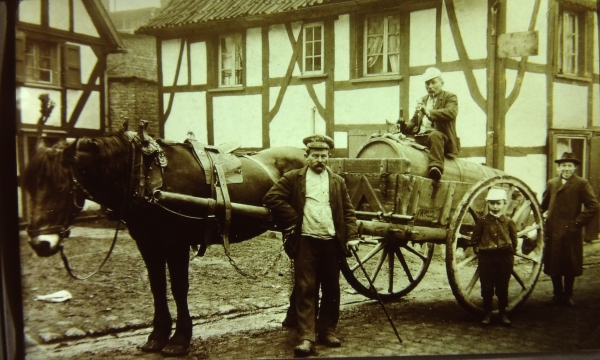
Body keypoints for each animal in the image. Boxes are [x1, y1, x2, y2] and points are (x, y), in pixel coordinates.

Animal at [21, 131, 308, 356]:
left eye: (61, 186)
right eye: (29, 186)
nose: (40, 243)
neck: (145, 174)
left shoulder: (176, 242)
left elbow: (179, 288)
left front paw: (179, 339)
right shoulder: (148, 243)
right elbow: (157, 287)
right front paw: (157, 335)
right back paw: (293, 317)